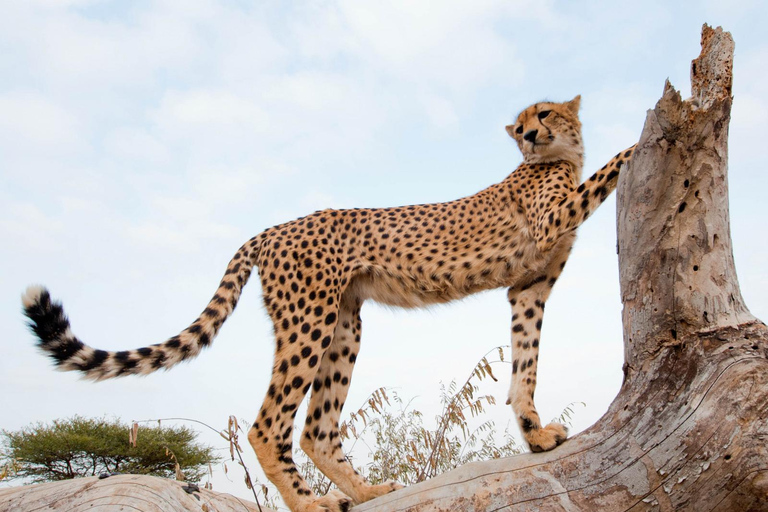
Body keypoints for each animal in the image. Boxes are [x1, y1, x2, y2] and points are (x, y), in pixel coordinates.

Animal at [24, 97, 636, 512]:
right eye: (522, 124)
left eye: (546, 114)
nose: (529, 134)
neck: (557, 159)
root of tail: (270, 229)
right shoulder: (552, 224)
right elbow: (608, 170)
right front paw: (638, 138)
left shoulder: (527, 287)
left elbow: (525, 363)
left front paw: (535, 434)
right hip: (308, 321)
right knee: (267, 426)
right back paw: (311, 501)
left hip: (343, 324)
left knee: (317, 429)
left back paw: (365, 490)